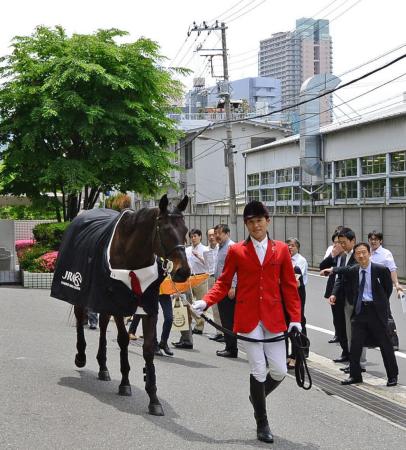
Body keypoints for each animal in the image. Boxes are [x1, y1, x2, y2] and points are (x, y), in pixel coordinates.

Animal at [50, 193, 190, 414]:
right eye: (165, 230)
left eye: (185, 231)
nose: (182, 271)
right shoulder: (117, 301)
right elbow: (123, 339)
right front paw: (125, 383)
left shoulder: (148, 306)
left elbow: (148, 349)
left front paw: (153, 398)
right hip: (84, 294)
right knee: (81, 318)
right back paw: (81, 356)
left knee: (102, 325)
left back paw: (103, 367)